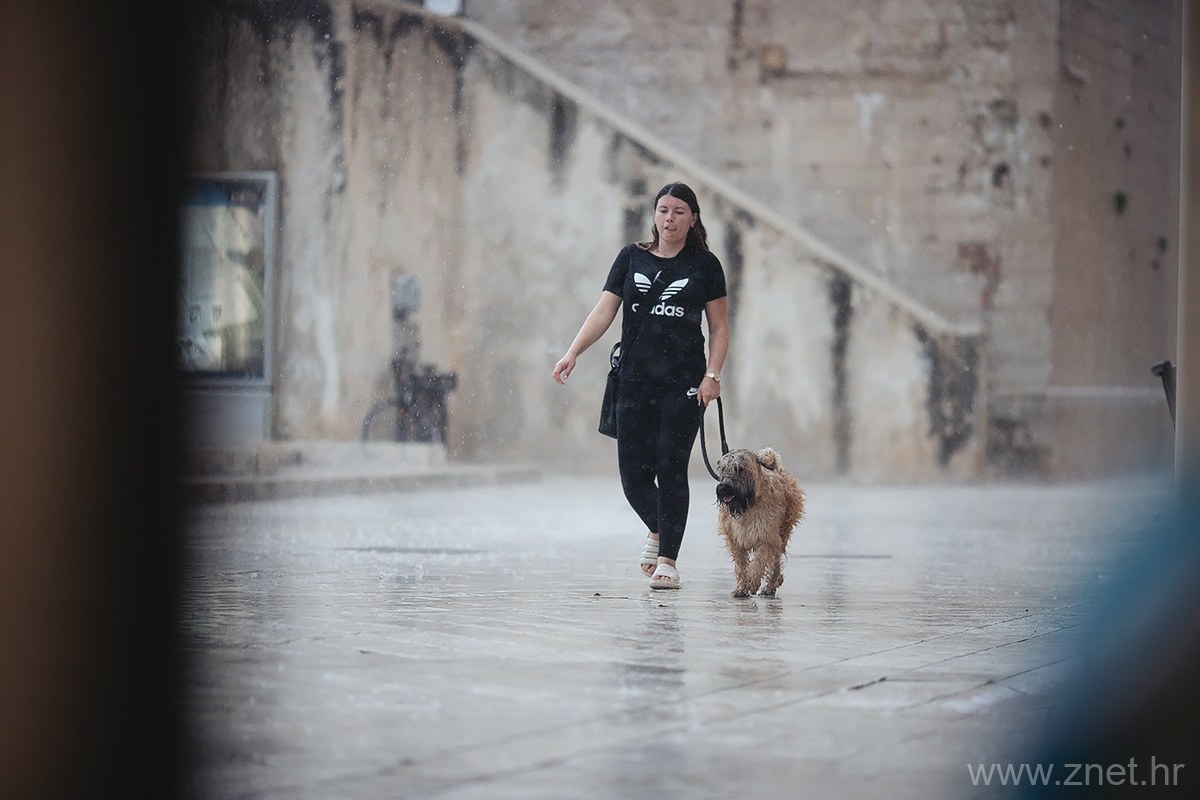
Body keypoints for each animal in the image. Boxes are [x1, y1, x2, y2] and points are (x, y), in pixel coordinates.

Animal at [715, 447, 805, 597]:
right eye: (722, 469)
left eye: (740, 468)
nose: (723, 488)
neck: (748, 504)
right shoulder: (735, 539)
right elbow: (741, 565)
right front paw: (742, 587)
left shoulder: (767, 536)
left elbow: (759, 561)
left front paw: (752, 582)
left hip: (782, 531)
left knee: (775, 560)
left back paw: (771, 584)